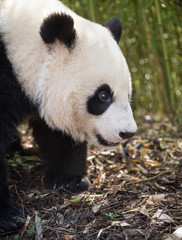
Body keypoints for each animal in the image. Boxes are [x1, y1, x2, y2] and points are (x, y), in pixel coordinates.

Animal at [0, 0, 136, 234]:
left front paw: (69, 180)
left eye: (127, 94)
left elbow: (58, 135)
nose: (127, 132)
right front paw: (8, 219)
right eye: (103, 95)